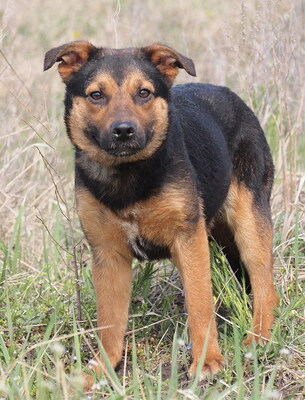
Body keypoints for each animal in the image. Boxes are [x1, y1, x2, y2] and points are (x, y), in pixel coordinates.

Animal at [43, 40, 278, 388]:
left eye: (144, 93)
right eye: (96, 95)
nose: (123, 131)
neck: (129, 175)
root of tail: (232, 96)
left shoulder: (188, 239)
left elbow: (199, 305)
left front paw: (207, 361)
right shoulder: (108, 255)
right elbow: (110, 321)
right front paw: (102, 369)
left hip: (248, 221)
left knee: (264, 285)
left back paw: (258, 338)